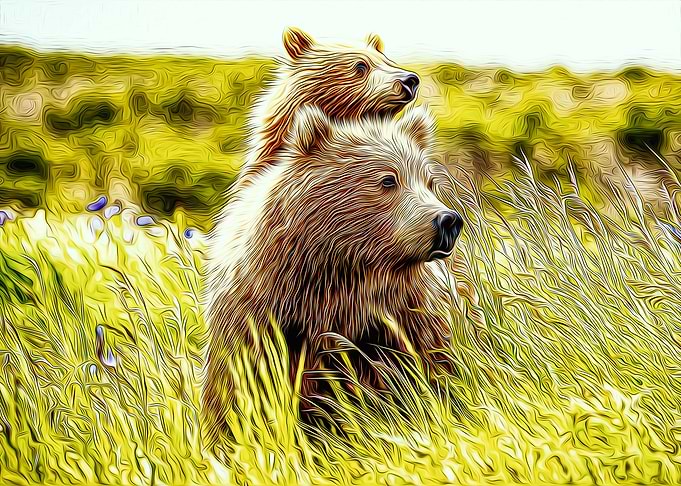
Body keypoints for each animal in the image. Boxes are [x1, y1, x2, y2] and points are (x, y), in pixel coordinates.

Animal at [202, 105, 464, 451]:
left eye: (430, 182)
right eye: (387, 180)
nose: (448, 220)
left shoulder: (400, 314)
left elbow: (425, 366)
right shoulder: (263, 316)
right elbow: (244, 383)